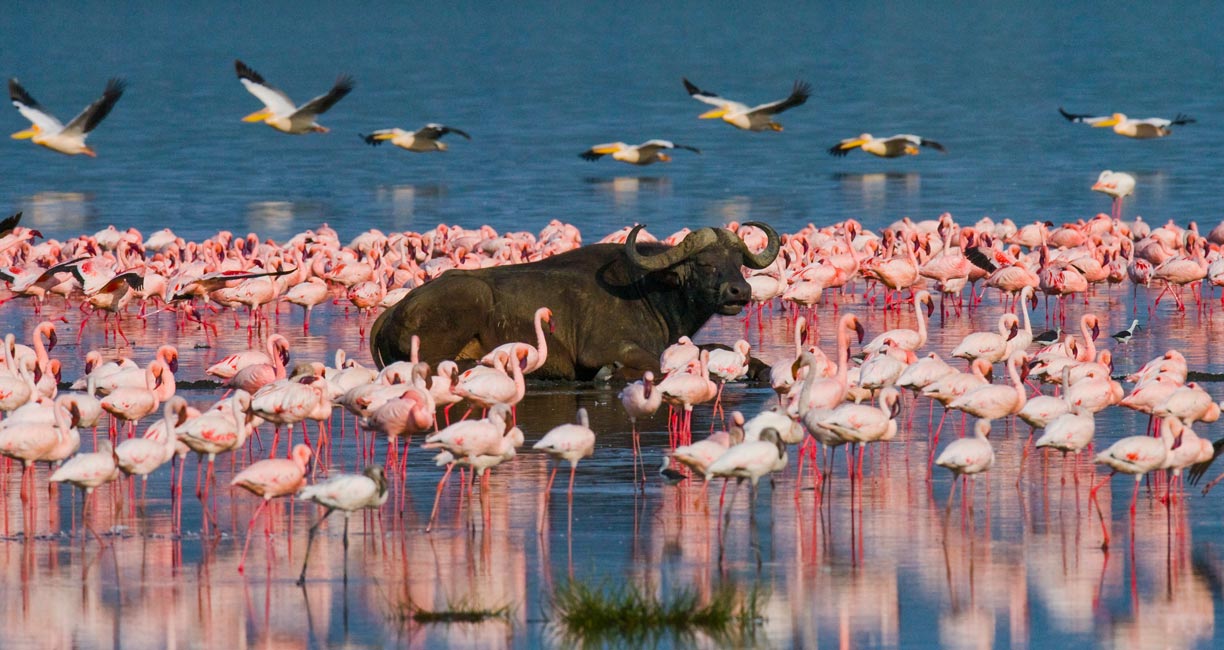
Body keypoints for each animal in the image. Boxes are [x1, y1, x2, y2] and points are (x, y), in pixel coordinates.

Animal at [367, 222, 778, 381]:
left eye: (738, 261)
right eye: (705, 264)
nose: (740, 292)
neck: (649, 292)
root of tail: (395, 310)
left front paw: (759, 368)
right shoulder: (607, 349)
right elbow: (655, 365)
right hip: (470, 298)